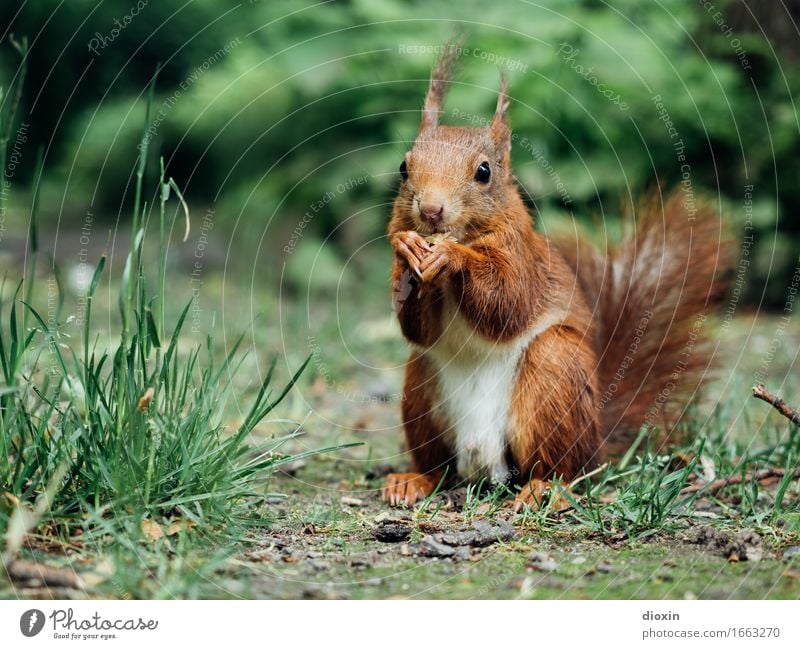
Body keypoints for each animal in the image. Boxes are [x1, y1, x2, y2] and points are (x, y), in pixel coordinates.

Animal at [382, 48, 732, 508]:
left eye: (484, 172)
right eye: (403, 167)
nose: (431, 211)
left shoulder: (523, 259)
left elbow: (507, 304)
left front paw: (452, 256)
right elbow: (417, 328)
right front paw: (407, 250)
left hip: (555, 374)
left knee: (562, 468)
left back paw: (544, 490)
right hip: (421, 387)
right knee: (438, 465)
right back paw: (413, 481)